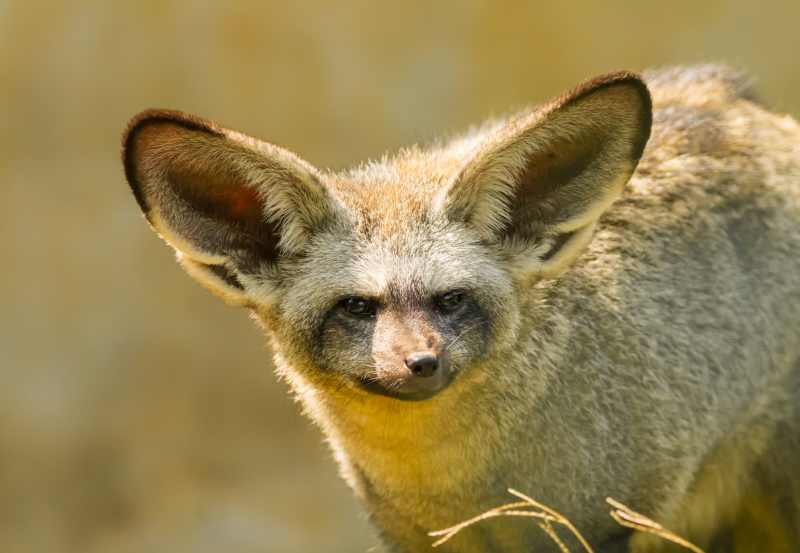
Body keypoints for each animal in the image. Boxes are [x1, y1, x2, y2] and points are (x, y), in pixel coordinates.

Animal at [121, 65, 800, 552]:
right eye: (356, 307)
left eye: (450, 300)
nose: (420, 362)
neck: (457, 487)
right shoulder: (415, 541)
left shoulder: (600, 523)